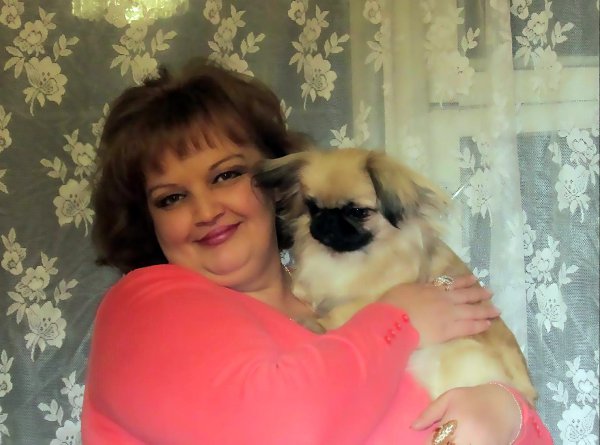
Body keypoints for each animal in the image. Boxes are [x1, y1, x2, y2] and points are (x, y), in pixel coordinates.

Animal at [253, 147, 537, 403]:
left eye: (358, 212)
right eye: (313, 208)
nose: (326, 222)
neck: (352, 258)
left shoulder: (371, 296)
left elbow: (342, 311)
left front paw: (317, 324)